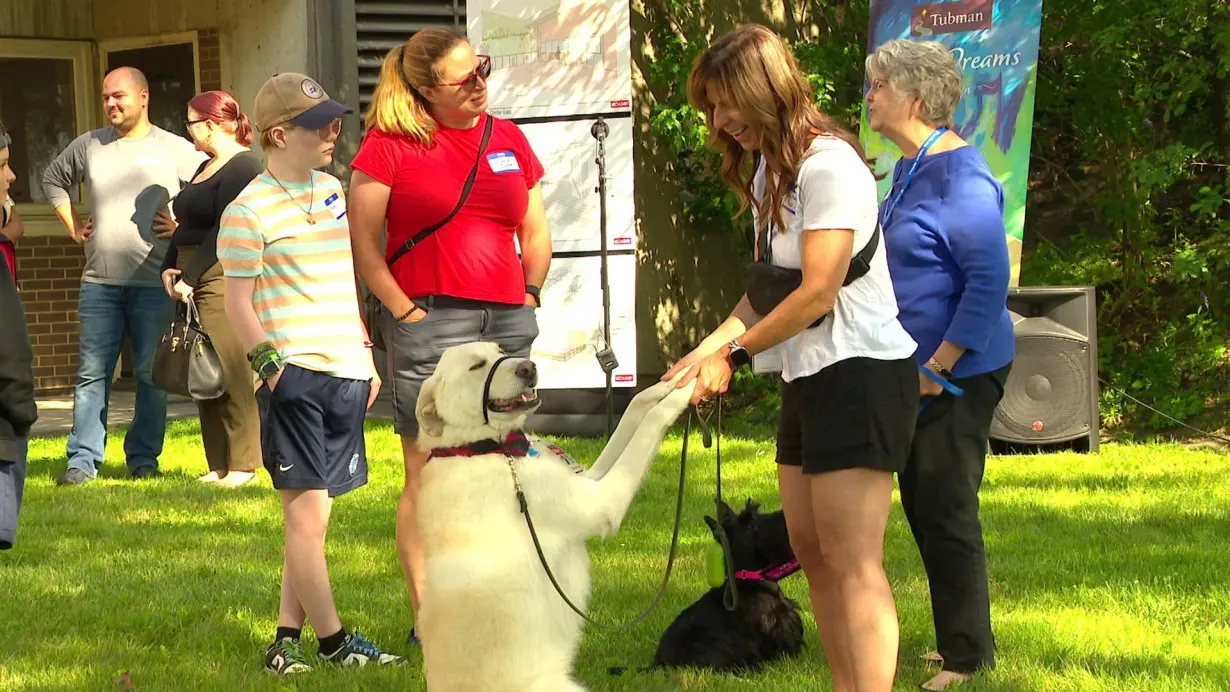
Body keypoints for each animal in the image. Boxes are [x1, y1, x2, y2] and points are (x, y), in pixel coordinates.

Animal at [418, 344, 698, 688]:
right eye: (476, 366)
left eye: (500, 350)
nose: (528, 367)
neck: (483, 447)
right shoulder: (602, 502)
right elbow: (651, 423)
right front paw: (689, 387)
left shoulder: (590, 479)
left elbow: (636, 408)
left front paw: (676, 376)